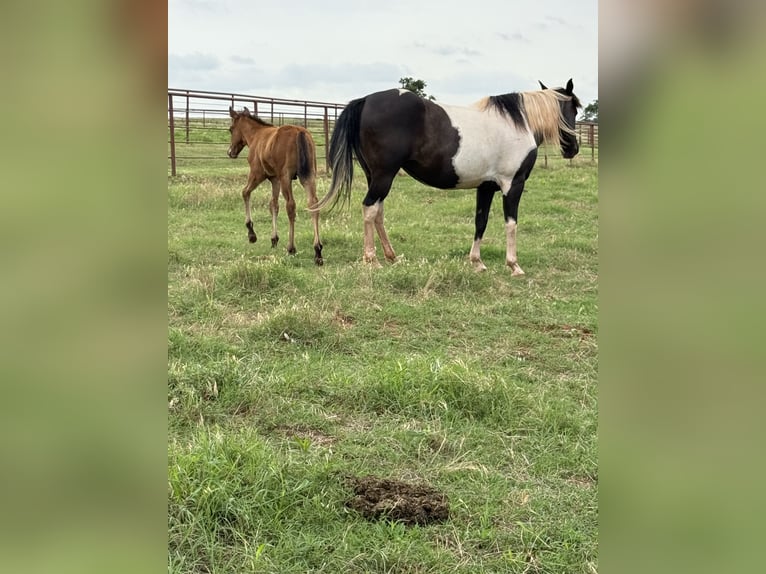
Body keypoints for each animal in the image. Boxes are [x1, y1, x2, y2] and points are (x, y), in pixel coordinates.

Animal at [227, 107, 324, 265]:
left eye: (230, 129)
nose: (230, 152)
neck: (256, 136)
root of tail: (300, 132)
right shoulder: (274, 179)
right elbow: (273, 205)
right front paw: (274, 239)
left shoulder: (257, 173)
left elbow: (245, 192)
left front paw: (251, 233)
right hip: (309, 176)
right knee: (313, 203)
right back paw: (317, 251)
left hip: (286, 178)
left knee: (291, 206)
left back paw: (291, 248)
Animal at [314, 80, 581, 273]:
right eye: (574, 110)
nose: (573, 149)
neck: (519, 124)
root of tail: (366, 100)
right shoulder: (513, 185)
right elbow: (511, 224)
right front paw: (514, 265)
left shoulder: (486, 187)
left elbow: (481, 222)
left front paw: (477, 263)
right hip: (383, 176)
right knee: (370, 209)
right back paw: (372, 259)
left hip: (375, 176)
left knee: (377, 211)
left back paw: (391, 256)